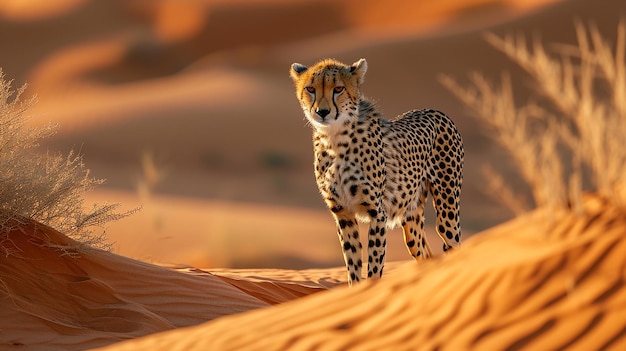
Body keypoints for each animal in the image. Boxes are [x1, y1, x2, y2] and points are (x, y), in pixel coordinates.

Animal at [290, 59, 460, 288]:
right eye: (310, 89)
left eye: (338, 89)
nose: (322, 112)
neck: (334, 138)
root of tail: (434, 110)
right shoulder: (343, 213)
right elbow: (353, 263)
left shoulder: (377, 213)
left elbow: (374, 265)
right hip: (411, 220)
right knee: (426, 255)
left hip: (447, 211)